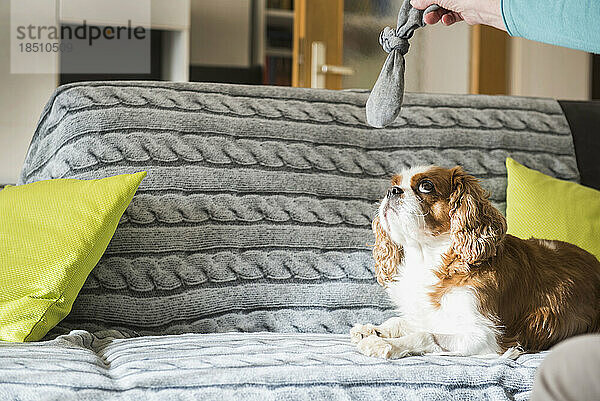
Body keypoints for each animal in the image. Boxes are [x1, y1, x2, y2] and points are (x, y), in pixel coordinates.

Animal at [352, 164, 600, 358]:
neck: (430, 258)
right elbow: (400, 321)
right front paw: (372, 329)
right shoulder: (430, 315)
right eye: (394, 184)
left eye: (426, 186)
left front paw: (382, 343)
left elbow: (426, 335)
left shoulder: (487, 336)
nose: (391, 191)